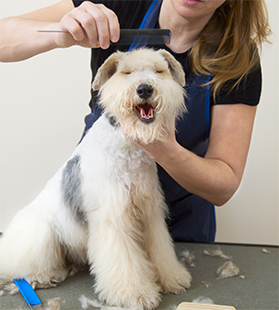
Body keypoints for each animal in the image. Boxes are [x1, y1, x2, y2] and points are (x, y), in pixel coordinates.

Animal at [0, 48, 192, 310]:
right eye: (126, 72)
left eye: (158, 70)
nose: (144, 89)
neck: (128, 147)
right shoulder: (114, 216)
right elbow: (124, 260)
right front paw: (136, 294)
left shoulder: (150, 211)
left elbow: (160, 250)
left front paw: (172, 278)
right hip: (41, 231)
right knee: (19, 268)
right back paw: (46, 276)